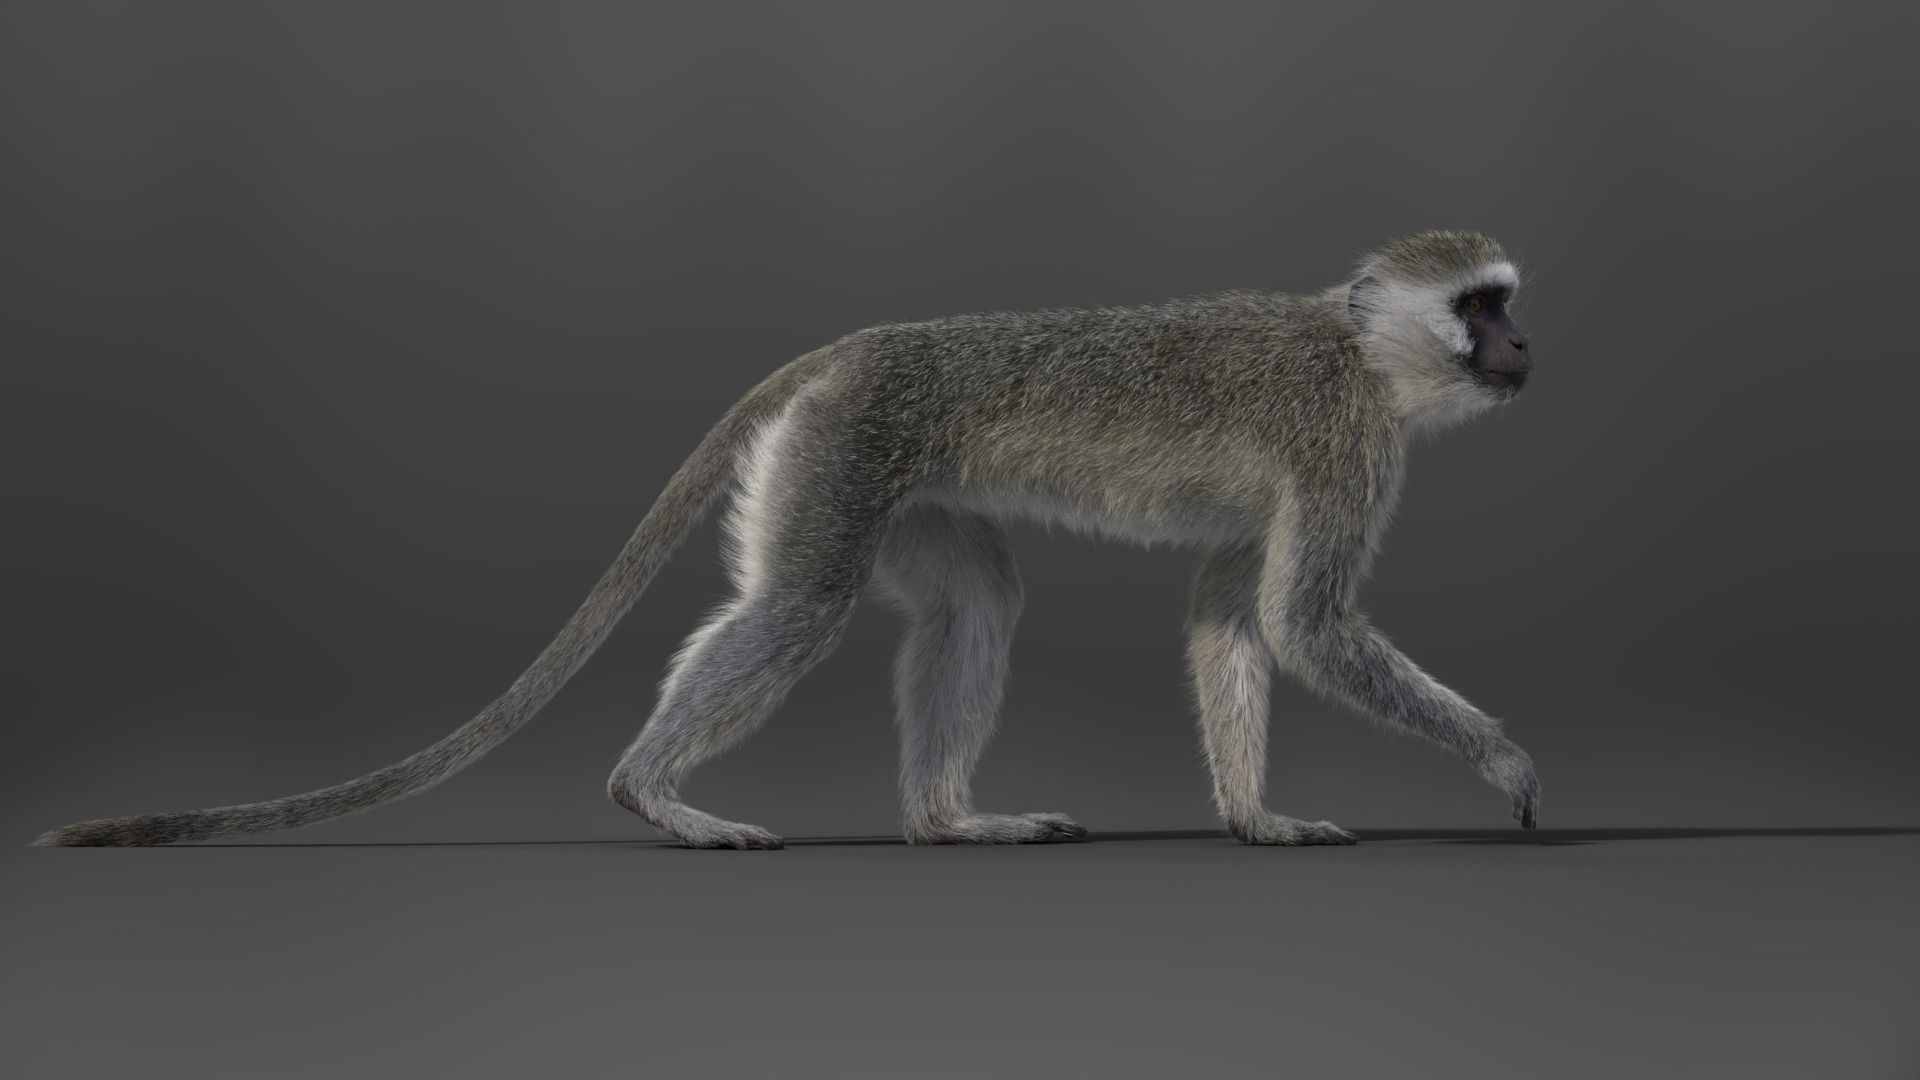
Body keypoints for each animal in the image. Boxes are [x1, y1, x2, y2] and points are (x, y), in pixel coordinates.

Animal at [35, 229, 1541, 849]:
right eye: (1482, 307)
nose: (1529, 349)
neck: (1366, 353)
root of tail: (848, 350)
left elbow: (1237, 618)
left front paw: (1254, 818)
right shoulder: (1345, 444)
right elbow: (1306, 629)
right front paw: (1504, 759)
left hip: (891, 480)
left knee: (972, 600)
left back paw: (945, 820)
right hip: (839, 451)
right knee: (800, 604)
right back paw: (652, 793)